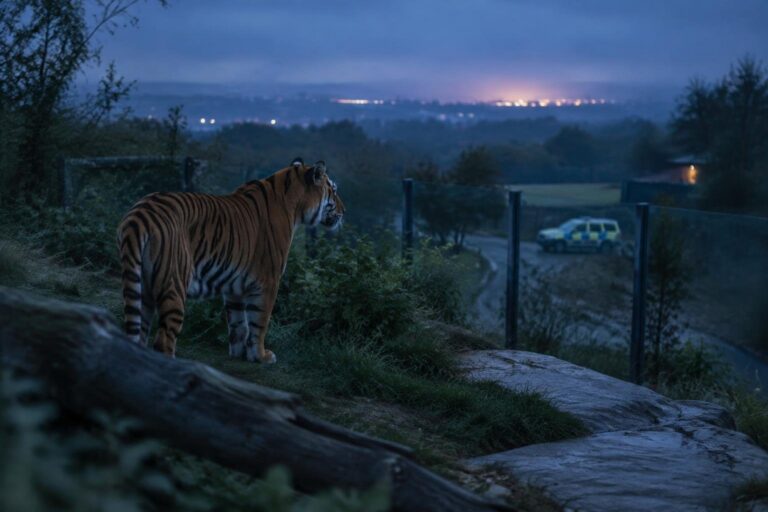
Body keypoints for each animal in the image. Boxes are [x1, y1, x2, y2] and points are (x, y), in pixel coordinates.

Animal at [117, 158, 344, 363]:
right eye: (333, 190)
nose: (344, 211)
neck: (295, 205)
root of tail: (140, 213)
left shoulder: (235, 284)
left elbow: (238, 323)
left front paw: (239, 353)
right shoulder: (268, 281)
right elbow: (259, 322)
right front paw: (261, 356)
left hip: (144, 285)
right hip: (174, 282)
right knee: (164, 339)